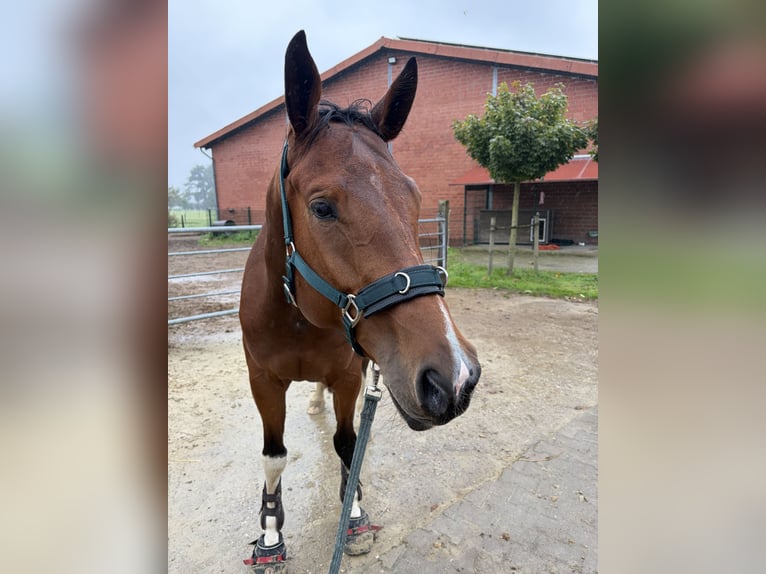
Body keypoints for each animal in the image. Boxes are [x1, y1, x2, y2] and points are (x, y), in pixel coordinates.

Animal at [239, 30, 481, 571]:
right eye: (321, 207)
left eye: (413, 197)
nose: (454, 377)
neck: (297, 317)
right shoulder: (262, 380)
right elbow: (273, 457)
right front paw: (270, 535)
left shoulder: (351, 376)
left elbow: (349, 445)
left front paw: (353, 514)